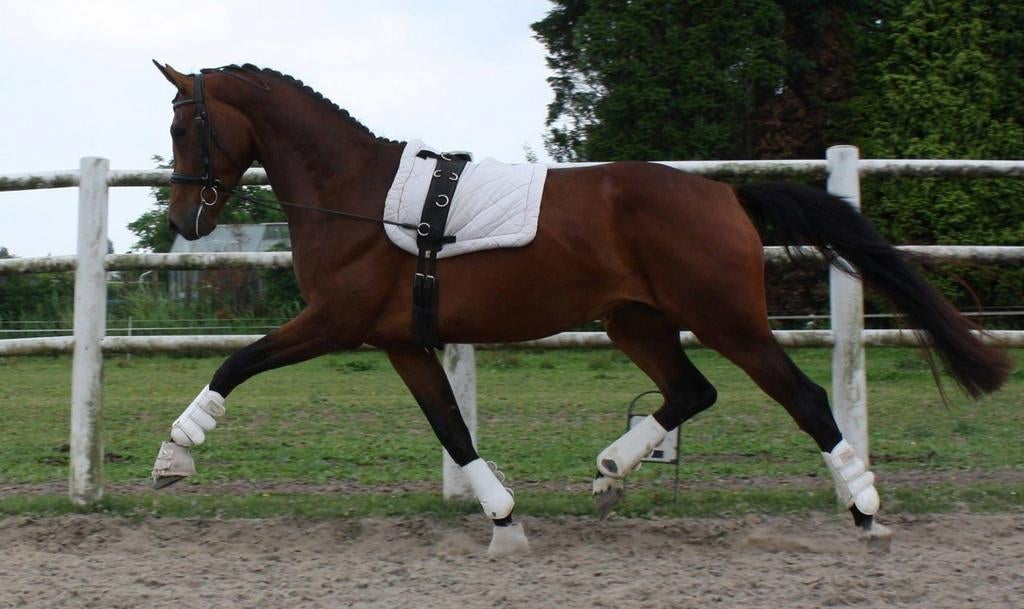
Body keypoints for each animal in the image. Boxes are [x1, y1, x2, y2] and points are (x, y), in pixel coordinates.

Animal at [150, 62, 1011, 555]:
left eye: (185, 123)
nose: (181, 220)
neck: (353, 194)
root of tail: (725, 193)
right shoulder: (401, 341)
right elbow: (451, 428)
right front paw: (505, 521)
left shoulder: (336, 321)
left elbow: (236, 361)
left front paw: (173, 455)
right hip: (635, 318)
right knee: (691, 390)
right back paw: (612, 469)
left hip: (728, 319)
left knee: (802, 397)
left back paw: (865, 509)